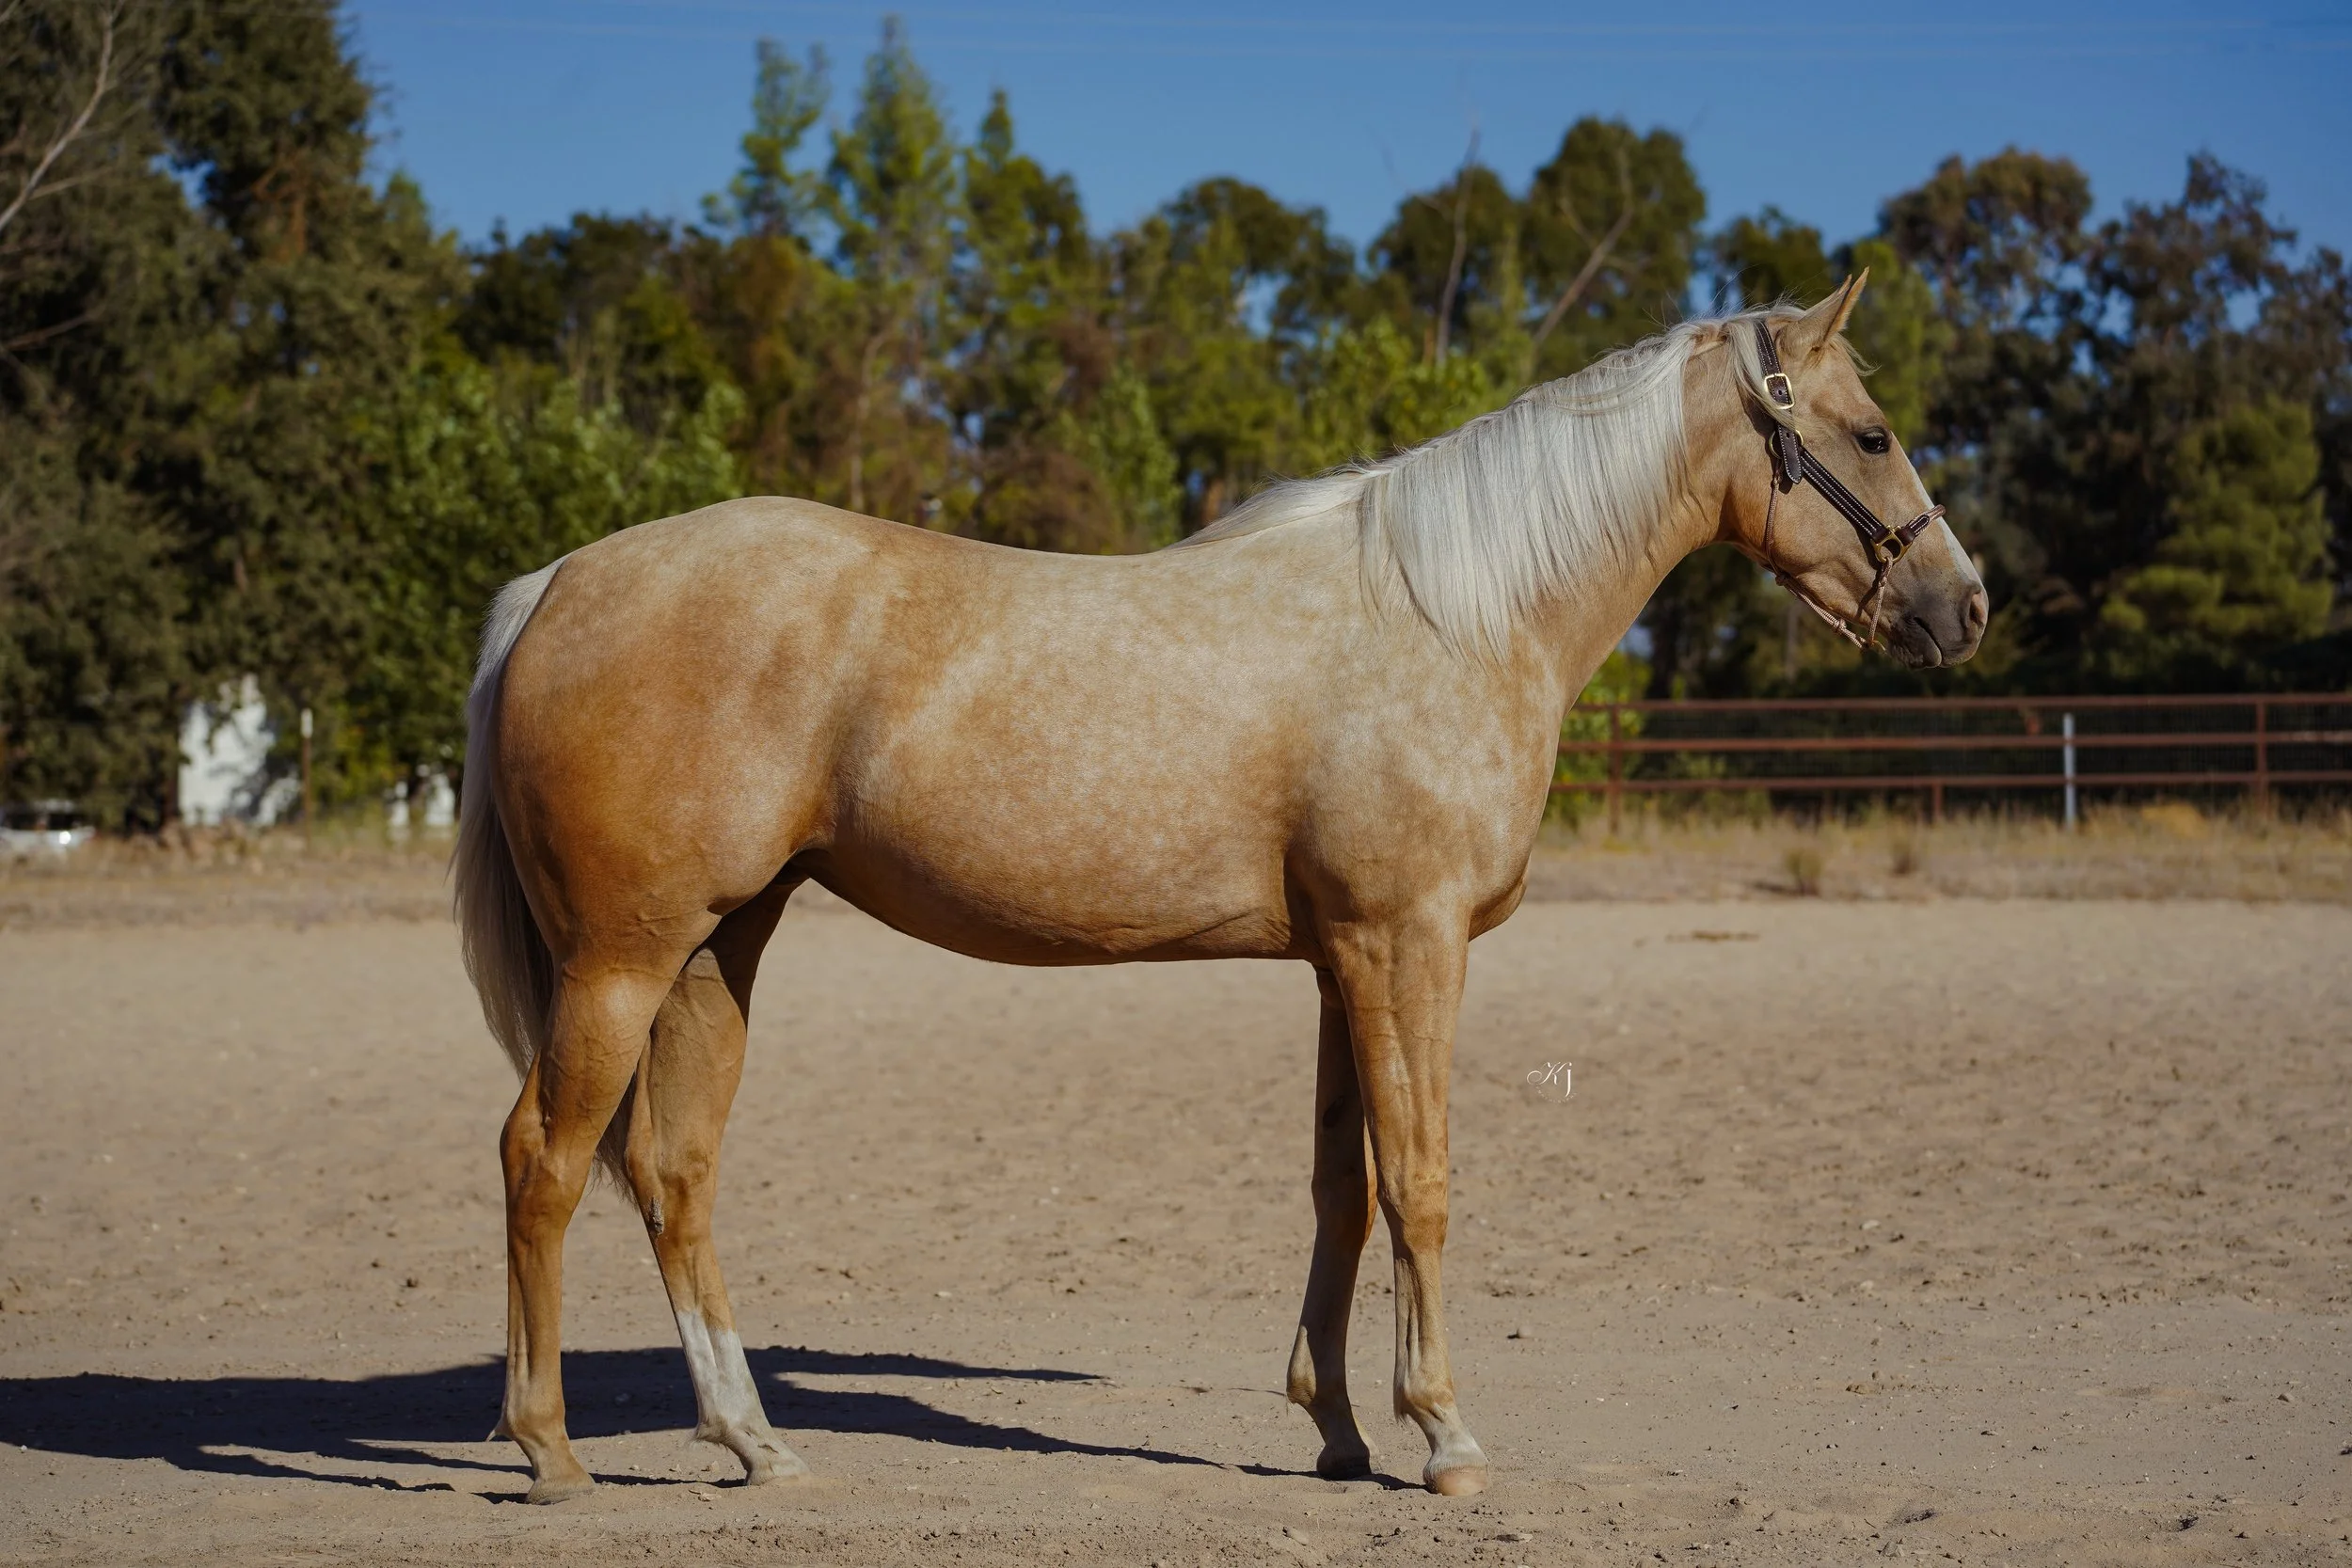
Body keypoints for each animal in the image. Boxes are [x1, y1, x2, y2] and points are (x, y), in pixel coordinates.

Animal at [452, 275, 1986, 1503]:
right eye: (1872, 432)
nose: (1964, 603)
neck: (1453, 610)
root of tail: (556, 583)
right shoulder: (1409, 944)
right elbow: (1420, 1181)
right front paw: (1444, 1434)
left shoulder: (1341, 959)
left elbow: (1341, 1189)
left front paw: (1341, 1429)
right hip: (621, 960)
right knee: (541, 1159)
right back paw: (550, 1449)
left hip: (719, 946)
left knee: (673, 1172)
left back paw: (753, 1440)